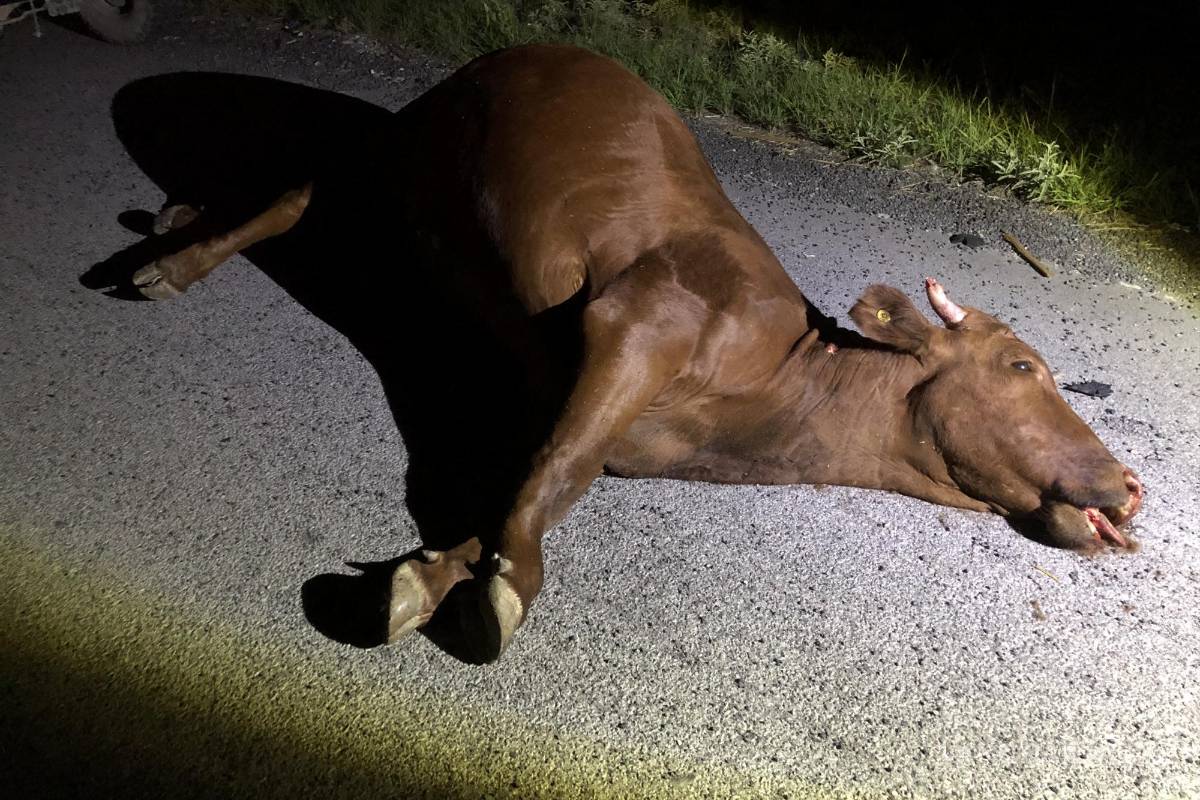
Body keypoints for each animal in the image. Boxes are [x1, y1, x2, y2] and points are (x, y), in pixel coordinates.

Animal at [125, 44, 1143, 660]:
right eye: (1022, 366)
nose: (1132, 484)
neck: (772, 411)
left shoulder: (593, 416)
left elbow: (522, 485)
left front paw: (429, 577)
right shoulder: (639, 321)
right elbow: (548, 471)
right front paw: (503, 593)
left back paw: (176, 217)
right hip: (406, 148)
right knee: (299, 190)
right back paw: (173, 260)